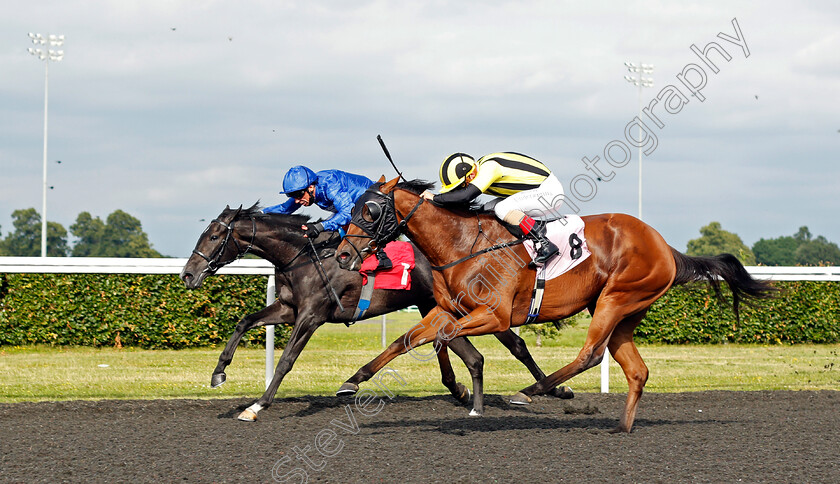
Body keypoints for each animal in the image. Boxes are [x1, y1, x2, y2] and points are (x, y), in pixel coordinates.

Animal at [177, 204, 572, 420]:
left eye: (214, 237)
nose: (187, 275)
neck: (303, 256)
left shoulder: (311, 316)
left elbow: (287, 359)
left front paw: (257, 405)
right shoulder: (288, 309)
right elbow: (244, 322)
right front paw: (219, 373)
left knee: (515, 346)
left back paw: (555, 391)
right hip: (437, 308)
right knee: (468, 355)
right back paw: (465, 392)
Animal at [334, 177, 776, 432]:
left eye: (370, 210)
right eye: (352, 207)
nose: (342, 254)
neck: (462, 244)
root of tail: (666, 246)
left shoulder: (493, 315)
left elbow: (443, 338)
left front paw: (471, 397)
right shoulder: (449, 308)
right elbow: (407, 341)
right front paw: (352, 380)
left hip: (615, 299)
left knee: (591, 354)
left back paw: (531, 391)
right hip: (625, 310)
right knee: (636, 369)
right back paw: (622, 427)